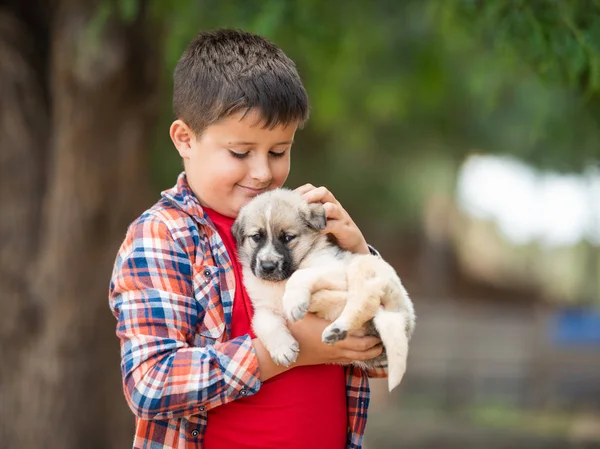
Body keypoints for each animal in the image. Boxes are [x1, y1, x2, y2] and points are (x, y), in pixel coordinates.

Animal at [232, 187, 414, 390]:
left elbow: (299, 275)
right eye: (256, 237)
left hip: (360, 267)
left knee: (363, 302)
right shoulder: (263, 307)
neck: (279, 282)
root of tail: (403, 317)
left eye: (288, 238)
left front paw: (293, 302)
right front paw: (283, 349)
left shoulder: (334, 268)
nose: (268, 266)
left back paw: (330, 321)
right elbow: (264, 323)